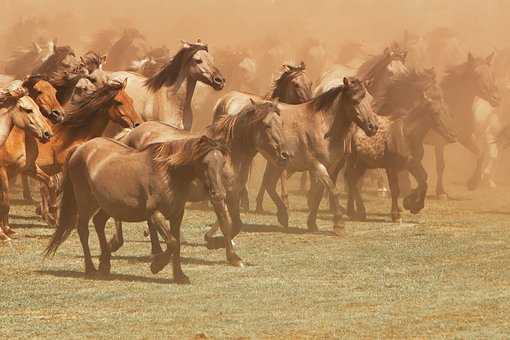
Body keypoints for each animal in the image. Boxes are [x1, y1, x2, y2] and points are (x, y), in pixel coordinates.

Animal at [0, 90, 53, 239]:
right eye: (28, 110)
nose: (48, 133)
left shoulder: (25, 169)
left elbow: (49, 182)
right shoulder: (3, 171)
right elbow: (4, 202)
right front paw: (3, 235)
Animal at [44, 135, 236, 284]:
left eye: (222, 163)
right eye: (204, 163)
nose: (219, 194)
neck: (167, 173)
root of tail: (80, 148)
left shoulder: (176, 215)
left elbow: (177, 244)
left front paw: (179, 276)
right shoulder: (154, 214)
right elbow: (172, 242)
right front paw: (156, 265)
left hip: (106, 204)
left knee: (98, 223)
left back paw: (105, 264)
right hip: (86, 202)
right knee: (83, 229)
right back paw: (91, 269)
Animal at [342, 69, 454, 223]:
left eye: (445, 106)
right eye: (435, 112)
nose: (452, 135)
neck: (407, 135)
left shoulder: (413, 164)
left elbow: (423, 180)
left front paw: (412, 205)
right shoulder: (391, 167)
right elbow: (395, 189)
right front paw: (396, 214)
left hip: (363, 163)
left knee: (353, 180)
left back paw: (354, 211)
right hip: (354, 160)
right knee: (351, 180)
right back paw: (358, 211)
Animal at [422, 51, 502, 198]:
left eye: (492, 73)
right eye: (476, 74)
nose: (496, 98)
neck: (451, 106)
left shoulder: (465, 138)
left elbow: (480, 154)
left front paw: (472, 183)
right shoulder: (439, 142)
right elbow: (440, 165)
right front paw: (441, 192)